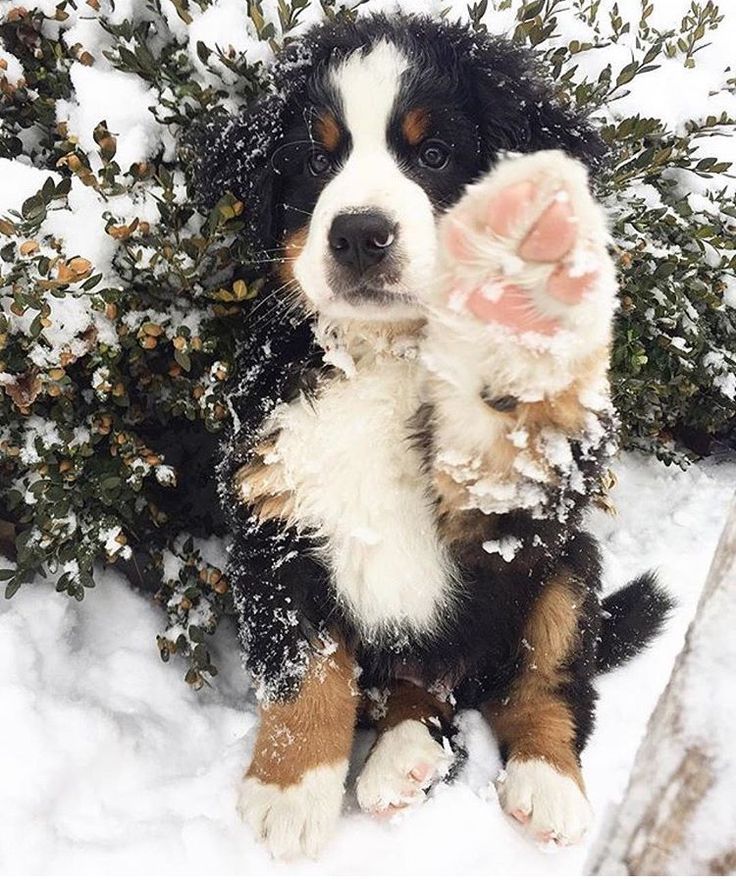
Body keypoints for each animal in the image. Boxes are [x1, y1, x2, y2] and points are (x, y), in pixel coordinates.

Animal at [190, 12, 672, 860]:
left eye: (436, 154)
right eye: (317, 157)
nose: (358, 235)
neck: (387, 352)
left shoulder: (527, 511)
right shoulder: (273, 513)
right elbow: (303, 669)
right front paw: (289, 790)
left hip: (569, 567)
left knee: (545, 683)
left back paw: (544, 784)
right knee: (420, 690)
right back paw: (404, 758)